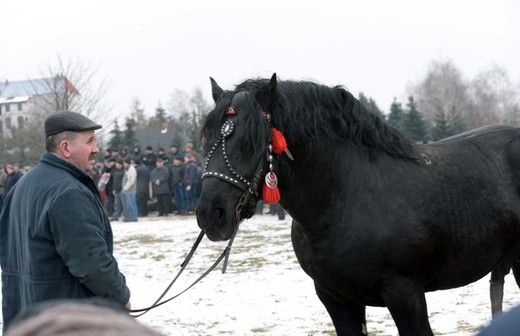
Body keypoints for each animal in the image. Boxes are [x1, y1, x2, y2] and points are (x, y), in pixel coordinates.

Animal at [195, 75, 520, 334]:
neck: (346, 198)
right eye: (206, 139)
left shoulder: (406, 294)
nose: (211, 214)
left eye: (250, 141)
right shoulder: (336, 298)